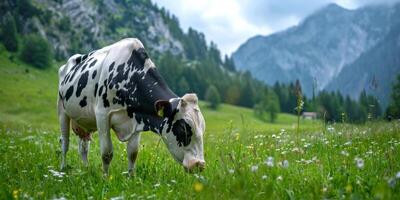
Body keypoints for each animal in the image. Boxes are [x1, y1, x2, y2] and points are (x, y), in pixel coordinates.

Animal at [57, 38, 206, 175]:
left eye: (202, 129)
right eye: (183, 129)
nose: (199, 164)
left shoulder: (137, 119)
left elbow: (133, 153)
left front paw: (131, 177)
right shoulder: (102, 115)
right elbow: (106, 153)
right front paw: (105, 178)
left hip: (84, 122)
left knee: (83, 147)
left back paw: (86, 168)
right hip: (62, 111)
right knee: (65, 142)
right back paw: (62, 168)